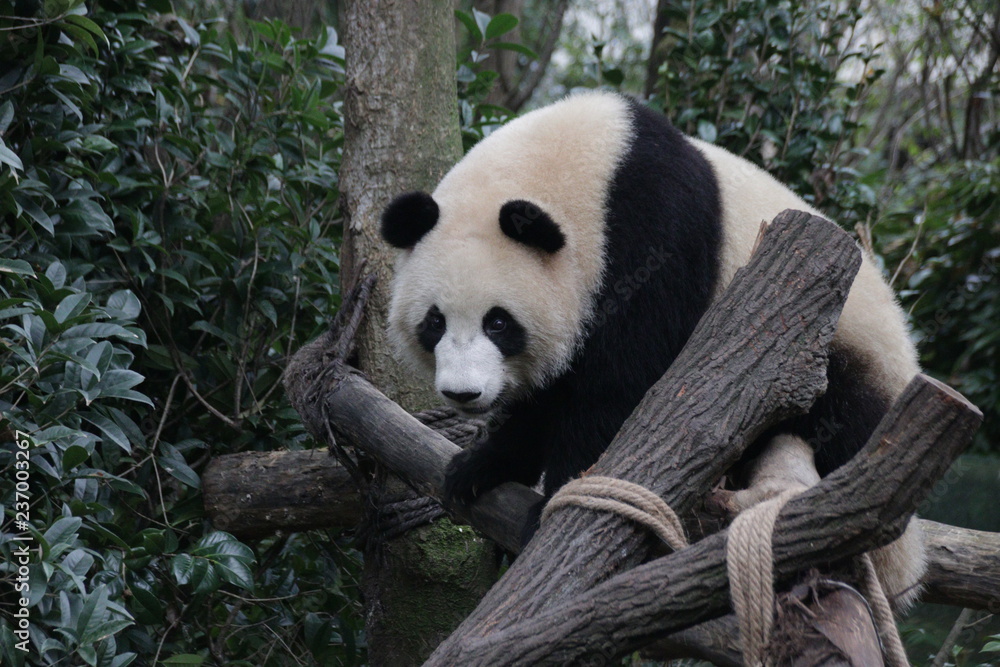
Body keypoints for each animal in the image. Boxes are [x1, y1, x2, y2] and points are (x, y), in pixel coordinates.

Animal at [380, 91, 925, 608]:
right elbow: (550, 393)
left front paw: (552, 507)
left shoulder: (653, 238)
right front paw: (479, 467)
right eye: (434, 322)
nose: (464, 394)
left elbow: (624, 388)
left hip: (838, 352)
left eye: (498, 323)